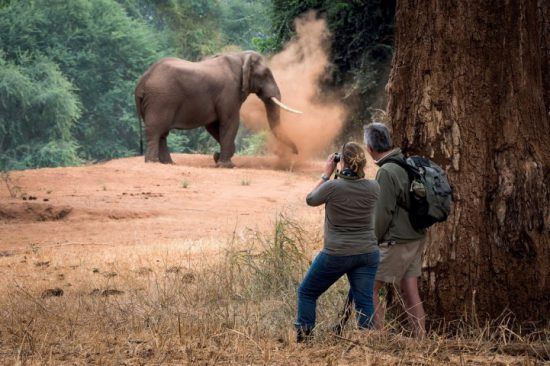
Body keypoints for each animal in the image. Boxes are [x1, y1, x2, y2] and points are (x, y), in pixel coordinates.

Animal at [137, 50, 302, 167]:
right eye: (266, 74)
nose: (296, 152)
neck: (241, 56)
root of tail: (143, 79)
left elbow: (212, 125)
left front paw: (218, 158)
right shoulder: (229, 91)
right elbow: (230, 122)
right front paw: (226, 165)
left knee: (162, 132)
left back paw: (168, 163)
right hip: (160, 99)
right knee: (156, 129)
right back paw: (153, 162)